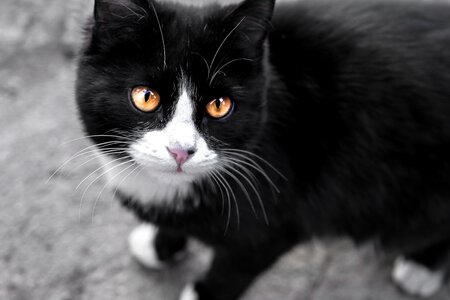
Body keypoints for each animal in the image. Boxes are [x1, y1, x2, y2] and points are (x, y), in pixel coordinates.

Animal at [75, 0, 450, 298]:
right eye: (145, 97)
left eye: (219, 105)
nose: (181, 150)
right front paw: (158, 245)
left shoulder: (275, 220)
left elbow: (231, 271)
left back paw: (421, 267)